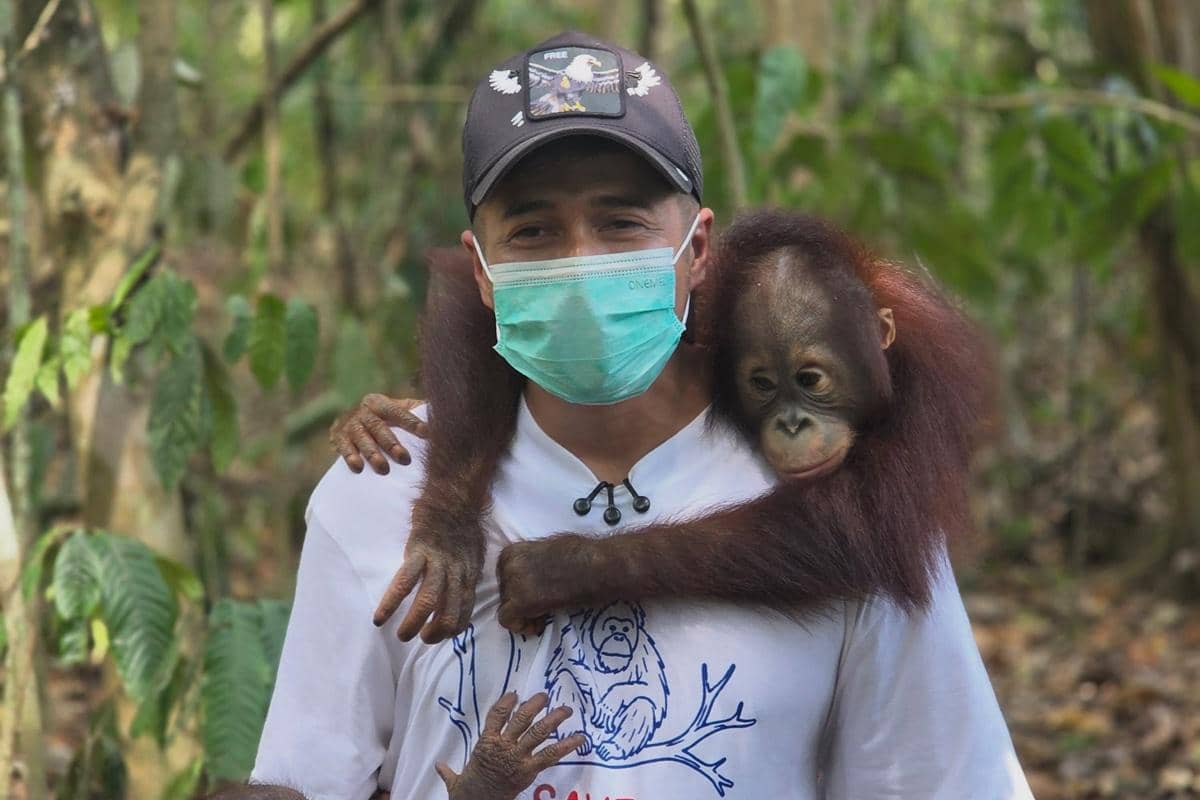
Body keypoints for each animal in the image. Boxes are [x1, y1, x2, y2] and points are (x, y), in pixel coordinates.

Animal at [332, 210, 997, 642]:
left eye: (810, 379)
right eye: (763, 384)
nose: (792, 423)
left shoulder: (927, 394)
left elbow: (871, 526)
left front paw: (561, 569)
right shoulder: (705, 313)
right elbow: (474, 299)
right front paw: (446, 532)